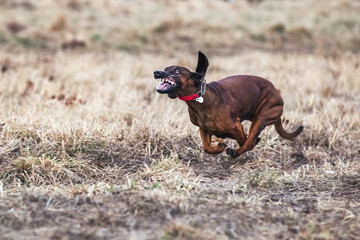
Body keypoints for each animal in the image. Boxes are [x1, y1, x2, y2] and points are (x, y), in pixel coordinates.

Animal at [153, 51, 302, 158]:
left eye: (177, 71)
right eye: (166, 68)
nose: (157, 72)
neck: (200, 101)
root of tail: (277, 92)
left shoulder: (236, 125)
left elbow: (245, 140)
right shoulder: (204, 129)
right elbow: (207, 147)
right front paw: (218, 147)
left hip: (262, 117)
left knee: (249, 142)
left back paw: (236, 152)